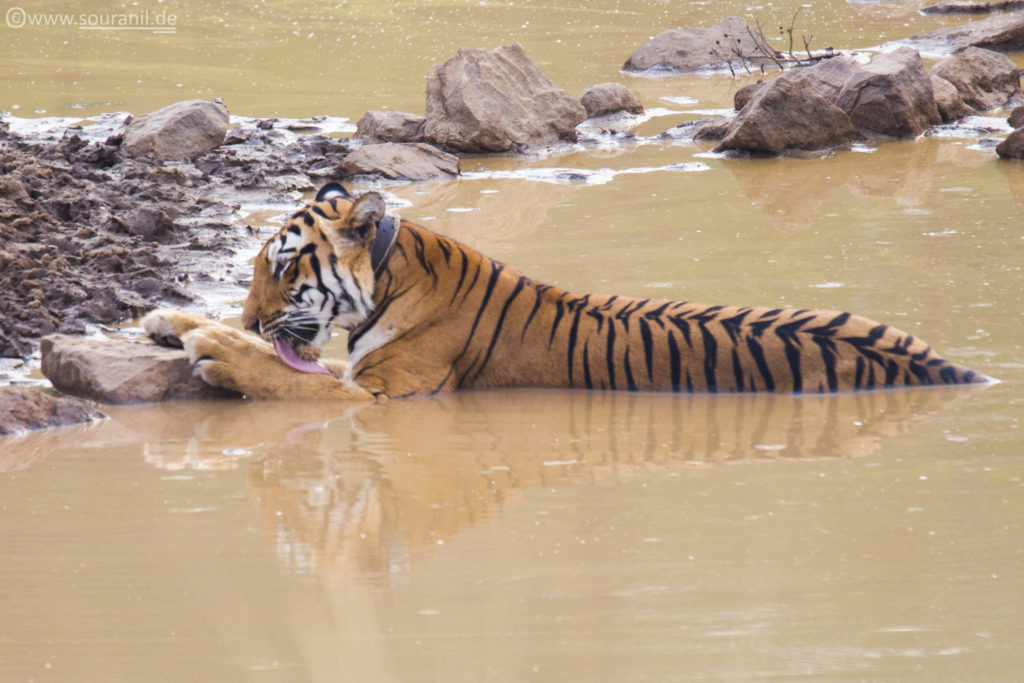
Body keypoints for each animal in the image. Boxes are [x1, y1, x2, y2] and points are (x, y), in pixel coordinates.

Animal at [140, 181, 987, 401]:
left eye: (285, 270)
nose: (250, 313)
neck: (393, 271)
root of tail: (955, 368)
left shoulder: (385, 397)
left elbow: (289, 374)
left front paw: (217, 345)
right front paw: (167, 316)